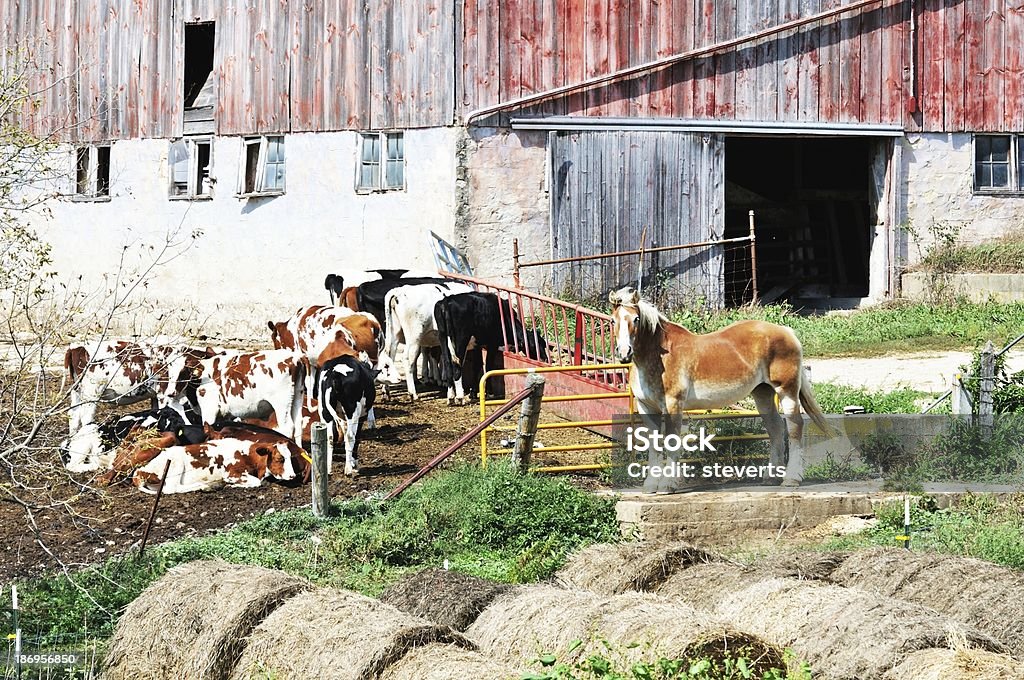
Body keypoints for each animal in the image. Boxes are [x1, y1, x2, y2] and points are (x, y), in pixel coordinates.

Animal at [610, 286, 827, 489]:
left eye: (636, 319)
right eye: (613, 321)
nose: (624, 352)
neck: (658, 356)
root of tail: (786, 331)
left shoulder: (673, 404)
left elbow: (671, 441)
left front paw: (667, 484)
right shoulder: (646, 407)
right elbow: (653, 443)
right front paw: (650, 485)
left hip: (787, 390)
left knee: (794, 427)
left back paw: (791, 478)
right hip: (763, 393)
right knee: (775, 428)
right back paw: (771, 477)